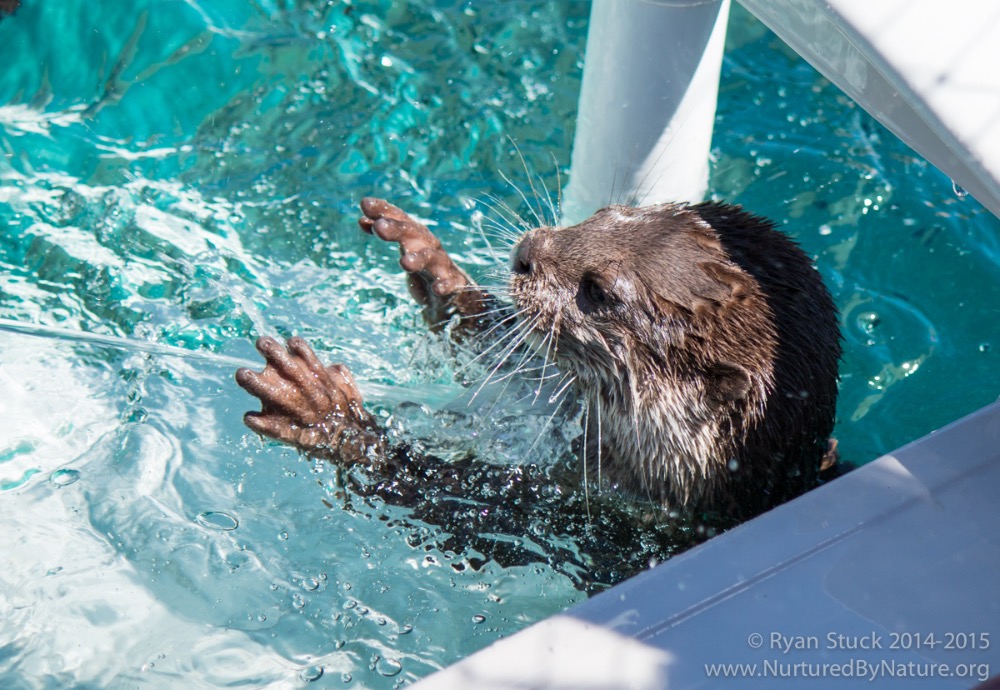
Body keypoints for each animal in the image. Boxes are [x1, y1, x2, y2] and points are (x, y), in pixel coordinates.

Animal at [236, 197, 840, 522]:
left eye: (599, 291)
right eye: (606, 211)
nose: (526, 252)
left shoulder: (566, 514)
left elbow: (449, 501)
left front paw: (324, 412)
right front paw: (432, 263)